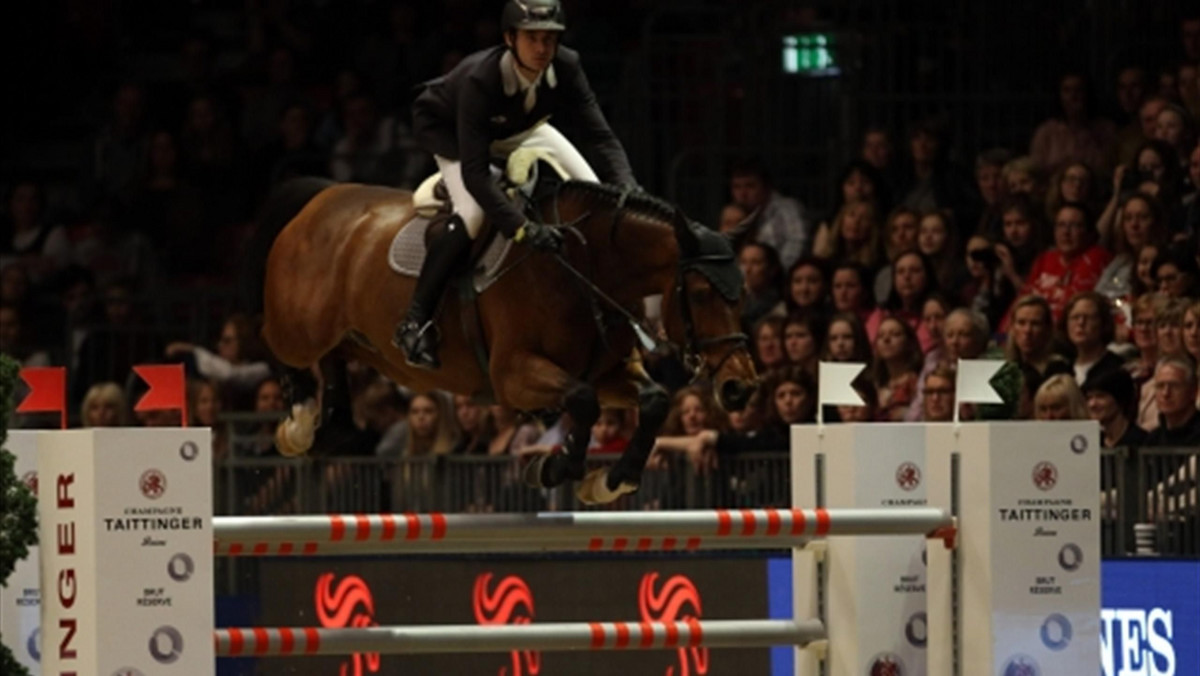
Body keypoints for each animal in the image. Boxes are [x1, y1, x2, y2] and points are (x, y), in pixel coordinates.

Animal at [247, 177, 753, 504]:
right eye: (702, 293)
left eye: (744, 290)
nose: (739, 388)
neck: (583, 269)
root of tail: (318, 200)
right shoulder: (514, 374)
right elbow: (583, 400)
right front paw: (556, 468)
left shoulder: (609, 372)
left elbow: (653, 401)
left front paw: (611, 480)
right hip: (300, 328)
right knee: (271, 340)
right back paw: (298, 422)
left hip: (361, 341)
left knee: (333, 356)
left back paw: (331, 422)